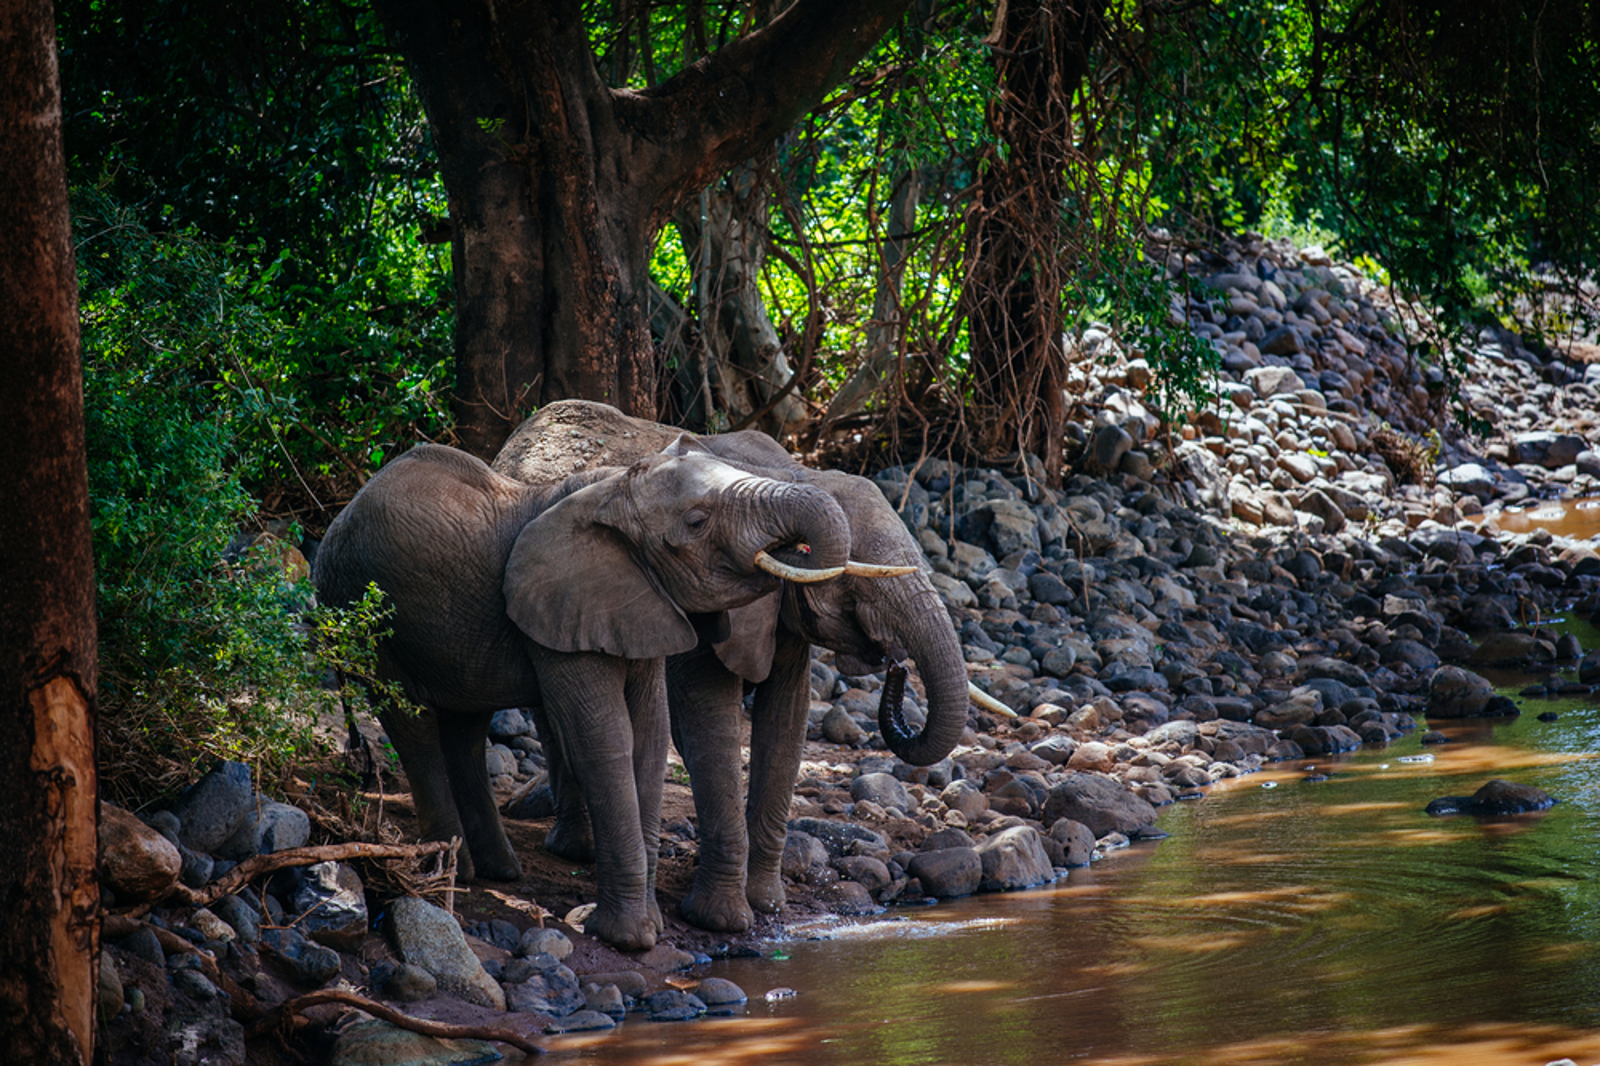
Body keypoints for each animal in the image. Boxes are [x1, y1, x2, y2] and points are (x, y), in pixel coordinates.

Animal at [311, 439, 855, 949]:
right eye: (697, 522)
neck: (611, 492)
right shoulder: (559, 612)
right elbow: (603, 738)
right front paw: (629, 939)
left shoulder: (638, 603)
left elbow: (649, 737)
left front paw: (648, 927)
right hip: (363, 612)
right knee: (413, 724)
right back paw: (453, 872)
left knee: (465, 727)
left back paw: (497, 870)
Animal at [491, 400, 1013, 933]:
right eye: (859, 582)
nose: (896, 666)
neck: (791, 474)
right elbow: (710, 717)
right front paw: (722, 920)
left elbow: (786, 721)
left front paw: (767, 903)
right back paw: (578, 848)